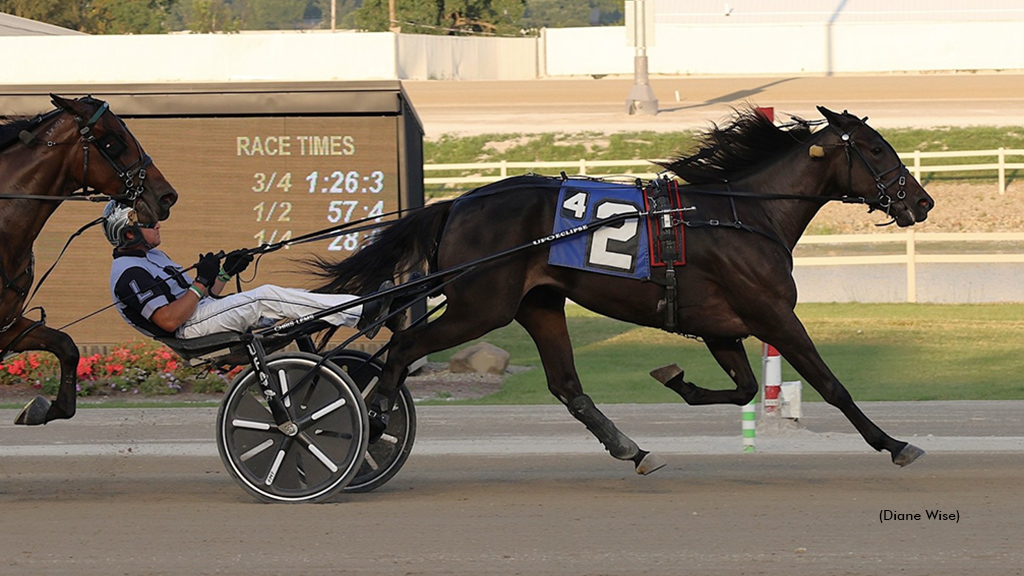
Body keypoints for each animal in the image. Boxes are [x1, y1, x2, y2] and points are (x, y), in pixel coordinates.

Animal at [312, 106, 934, 473]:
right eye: (876, 149)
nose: (924, 201)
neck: (744, 215)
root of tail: (458, 203)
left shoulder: (722, 327)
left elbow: (743, 390)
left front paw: (676, 379)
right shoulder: (774, 315)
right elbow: (832, 386)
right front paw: (894, 444)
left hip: (538, 305)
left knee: (567, 386)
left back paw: (631, 449)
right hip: (480, 305)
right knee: (403, 347)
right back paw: (377, 420)